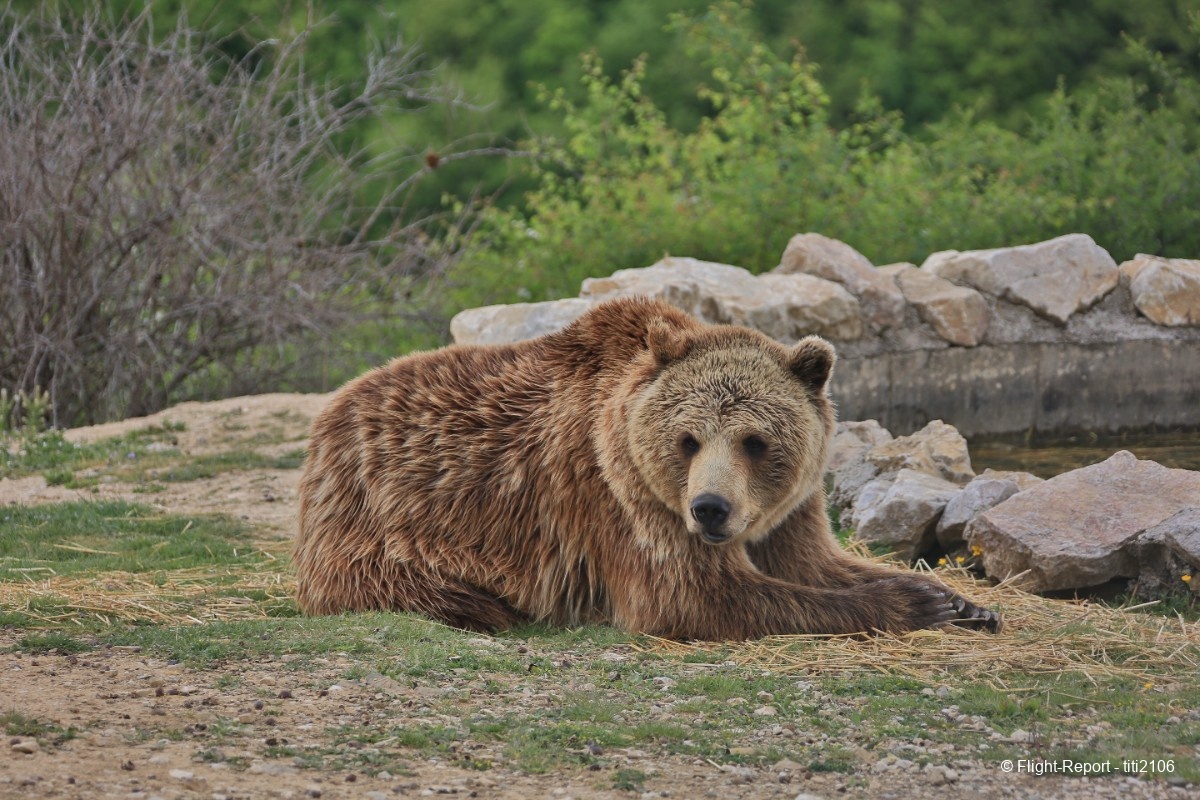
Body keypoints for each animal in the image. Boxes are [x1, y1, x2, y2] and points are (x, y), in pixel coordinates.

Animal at [293, 297, 1000, 639]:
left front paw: (965, 603)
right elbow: (697, 597)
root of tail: (328, 418)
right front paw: (915, 602)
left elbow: (815, 564)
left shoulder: (788, 509)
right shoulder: (618, 495)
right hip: (385, 528)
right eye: (688, 440)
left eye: (755, 441)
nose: (710, 508)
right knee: (437, 591)